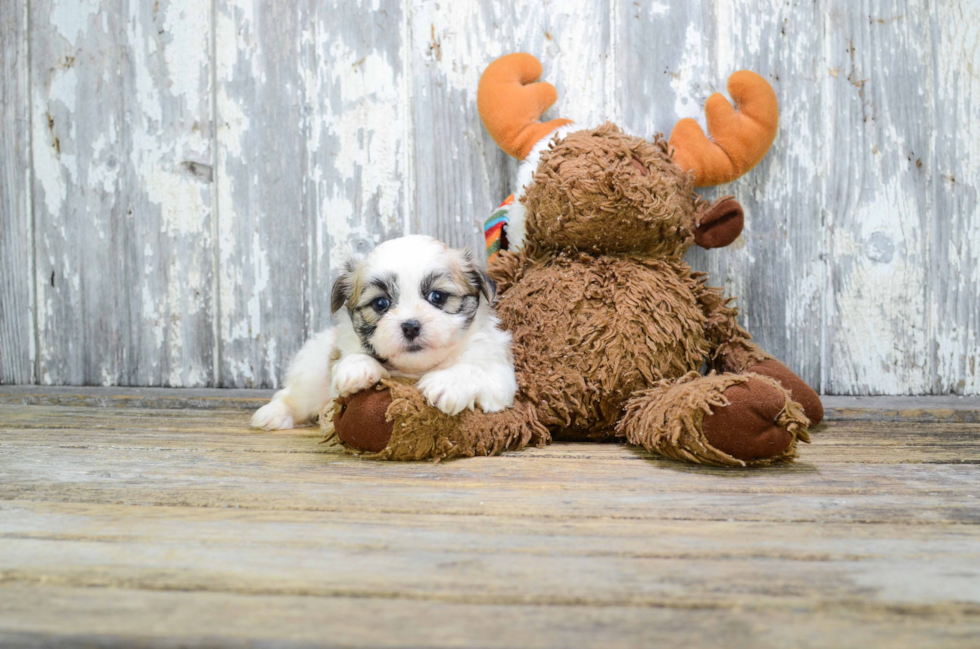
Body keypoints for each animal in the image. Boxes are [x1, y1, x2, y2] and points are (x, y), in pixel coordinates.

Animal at [249, 234, 516, 430]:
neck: (415, 369)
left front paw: (448, 382)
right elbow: (352, 362)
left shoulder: (500, 377)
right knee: (295, 396)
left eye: (437, 297)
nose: (410, 325)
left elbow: (475, 370)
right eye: (380, 303)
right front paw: (358, 367)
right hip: (312, 374)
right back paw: (272, 414)